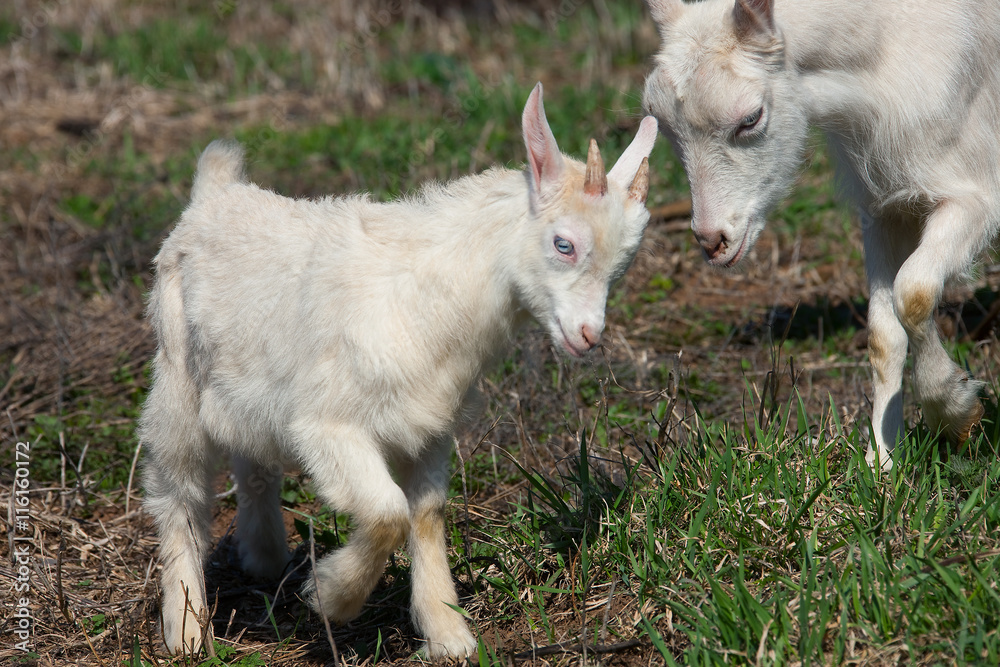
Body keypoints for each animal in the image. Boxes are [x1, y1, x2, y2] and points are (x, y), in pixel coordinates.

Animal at [141, 83, 657, 658]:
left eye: (622, 265)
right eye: (563, 244)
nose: (588, 336)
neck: (429, 300)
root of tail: (212, 193)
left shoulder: (430, 426)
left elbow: (426, 516)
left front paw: (449, 633)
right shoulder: (328, 426)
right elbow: (388, 512)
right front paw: (332, 596)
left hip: (244, 385)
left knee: (251, 458)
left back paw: (265, 556)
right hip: (176, 373)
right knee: (177, 492)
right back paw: (186, 627)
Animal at [642, 0, 1000, 470]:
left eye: (751, 118)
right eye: (665, 126)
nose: (711, 240)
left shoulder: (974, 191)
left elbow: (914, 293)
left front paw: (955, 414)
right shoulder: (883, 205)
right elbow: (883, 335)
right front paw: (881, 462)